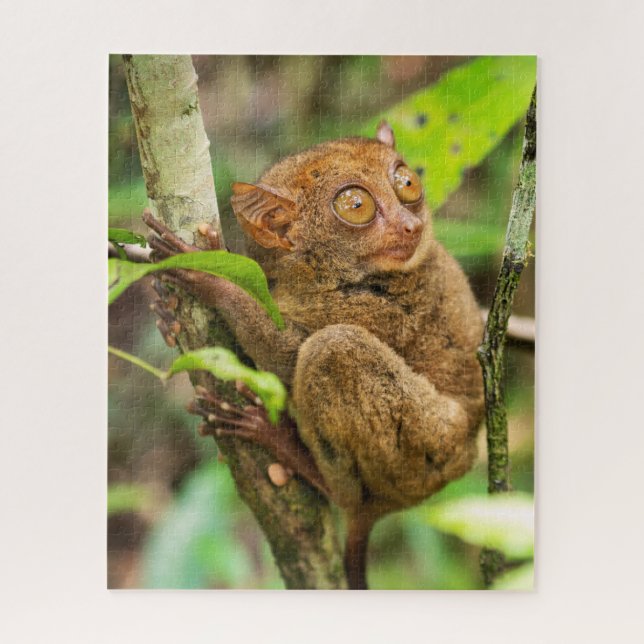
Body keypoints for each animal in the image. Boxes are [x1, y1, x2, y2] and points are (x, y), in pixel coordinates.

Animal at [144, 121, 485, 590]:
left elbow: (287, 357)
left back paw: (292, 453)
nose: (410, 224)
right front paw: (165, 314)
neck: (316, 275)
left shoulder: (382, 309)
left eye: (406, 184)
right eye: (357, 206)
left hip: (424, 448)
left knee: (333, 349)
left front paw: (209, 275)